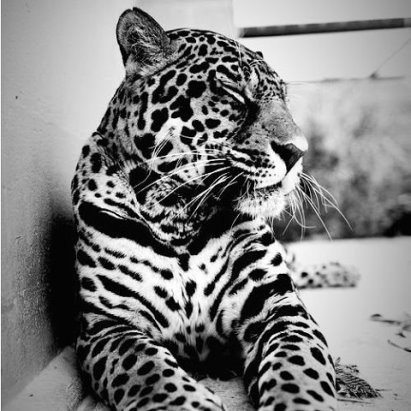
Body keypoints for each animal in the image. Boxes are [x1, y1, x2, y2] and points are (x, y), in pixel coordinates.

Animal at [71, 8, 360, 411]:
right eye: (234, 93)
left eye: (285, 100)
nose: (299, 151)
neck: (177, 216)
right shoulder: (109, 325)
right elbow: (151, 372)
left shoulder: (278, 305)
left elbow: (297, 367)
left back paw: (342, 269)